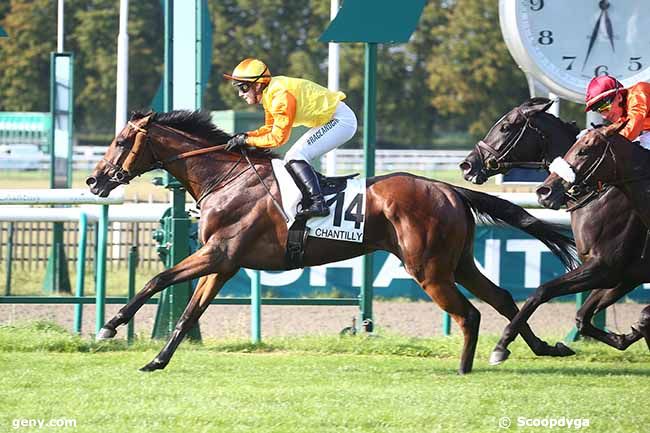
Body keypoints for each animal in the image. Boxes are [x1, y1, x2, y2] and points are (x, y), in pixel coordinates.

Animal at [86, 110, 572, 372]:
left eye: (121, 141)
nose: (94, 180)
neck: (226, 179)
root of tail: (450, 189)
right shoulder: (223, 263)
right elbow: (188, 314)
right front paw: (157, 359)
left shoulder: (217, 254)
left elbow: (158, 281)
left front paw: (109, 326)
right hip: (459, 262)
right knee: (502, 297)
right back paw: (536, 347)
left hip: (429, 269)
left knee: (470, 312)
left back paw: (465, 367)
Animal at [460, 99, 648, 362]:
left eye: (506, 127)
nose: (467, 165)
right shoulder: (621, 274)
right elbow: (583, 317)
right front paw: (623, 337)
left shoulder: (607, 267)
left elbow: (541, 291)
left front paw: (502, 344)